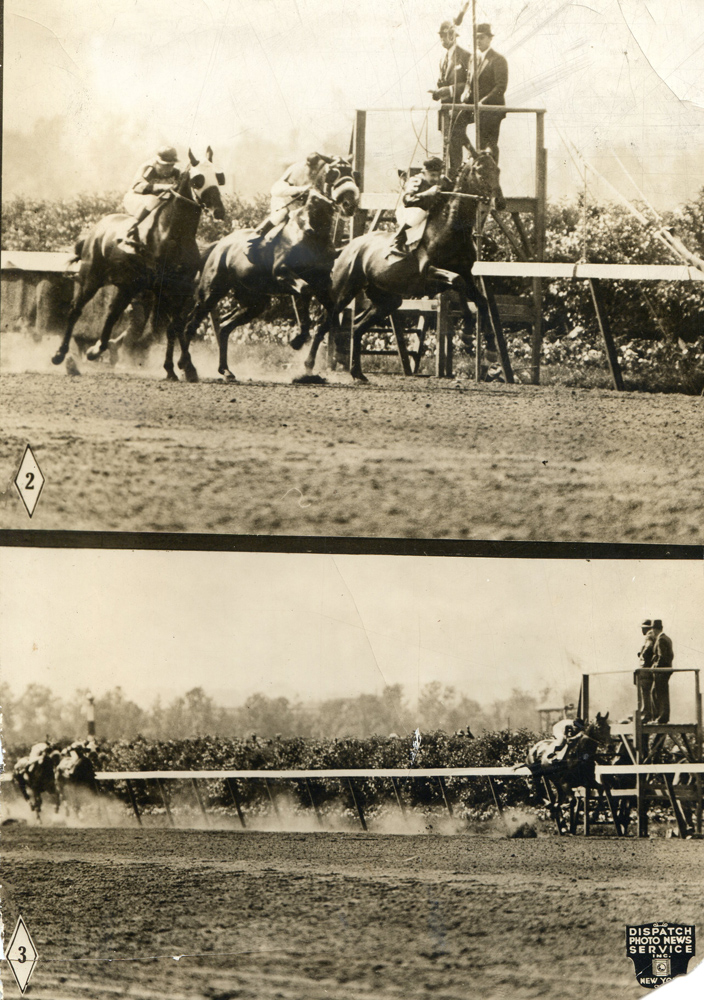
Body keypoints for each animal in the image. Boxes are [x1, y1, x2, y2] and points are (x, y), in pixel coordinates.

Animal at [183, 158, 358, 380]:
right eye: (333, 173)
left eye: (352, 173)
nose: (350, 203)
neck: (312, 231)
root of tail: (219, 245)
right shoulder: (283, 272)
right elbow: (305, 293)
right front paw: (298, 341)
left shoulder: (322, 284)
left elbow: (329, 314)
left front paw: (312, 362)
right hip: (211, 291)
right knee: (190, 325)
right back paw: (186, 368)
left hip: (254, 301)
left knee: (224, 327)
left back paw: (225, 370)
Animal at [302, 146, 500, 380]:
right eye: (479, 169)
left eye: (497, 168)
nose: (497, 199)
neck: (451, 229)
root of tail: (347, 248)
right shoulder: (429, 272)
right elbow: (457, 282)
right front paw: (469, 333)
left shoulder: (466, 273)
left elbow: (479, 299)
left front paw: (489, 349)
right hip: (343, 291)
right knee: (323, 324)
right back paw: (308, 366)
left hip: (387, 300)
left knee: (357, 327)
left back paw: (357, 372)